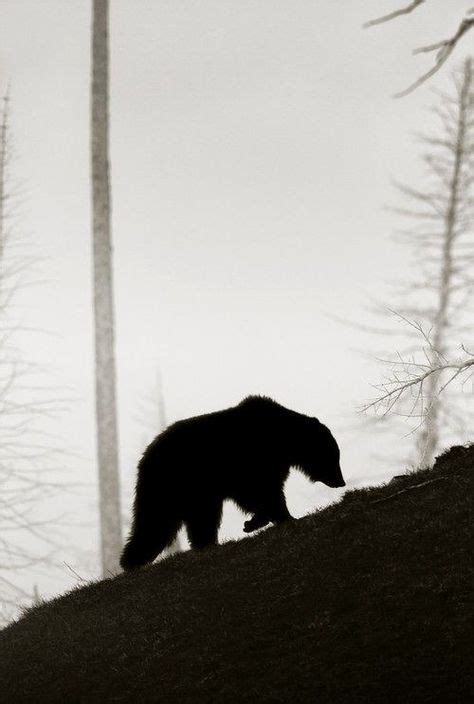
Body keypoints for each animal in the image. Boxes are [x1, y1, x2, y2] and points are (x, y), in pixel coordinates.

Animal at [120, 396, 344, 572]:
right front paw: (279, 518)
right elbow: (263, 492)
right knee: (157, 520)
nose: (341, 481)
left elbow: (262, 493)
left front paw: (258, 521)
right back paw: (131, 560)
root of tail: (145, 456)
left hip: (193, 493)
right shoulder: (251, 462)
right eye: (334, 457)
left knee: (194, 519)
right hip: (174, 482)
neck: (283, 442)